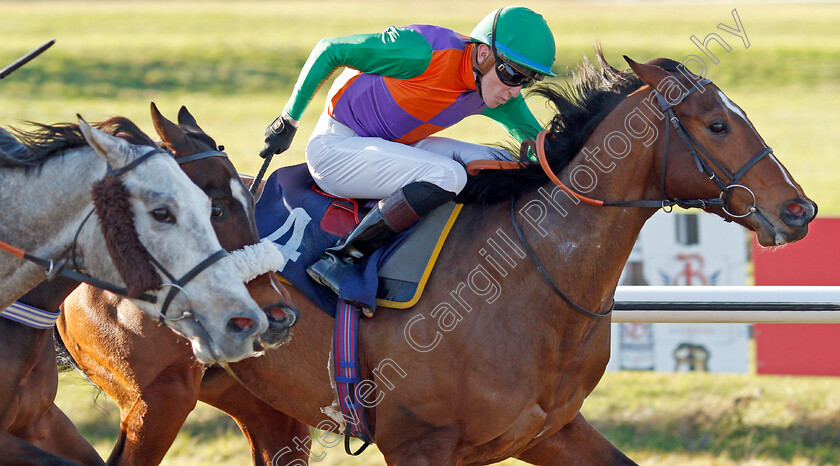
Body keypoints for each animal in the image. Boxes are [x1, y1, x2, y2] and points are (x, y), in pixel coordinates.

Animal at [57, 52, 812, 466]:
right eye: (717, 124)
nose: (799, 210)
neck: (531, 280)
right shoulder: (420, 445)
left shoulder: (550, 431)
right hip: (158, 400)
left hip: (265, 409)